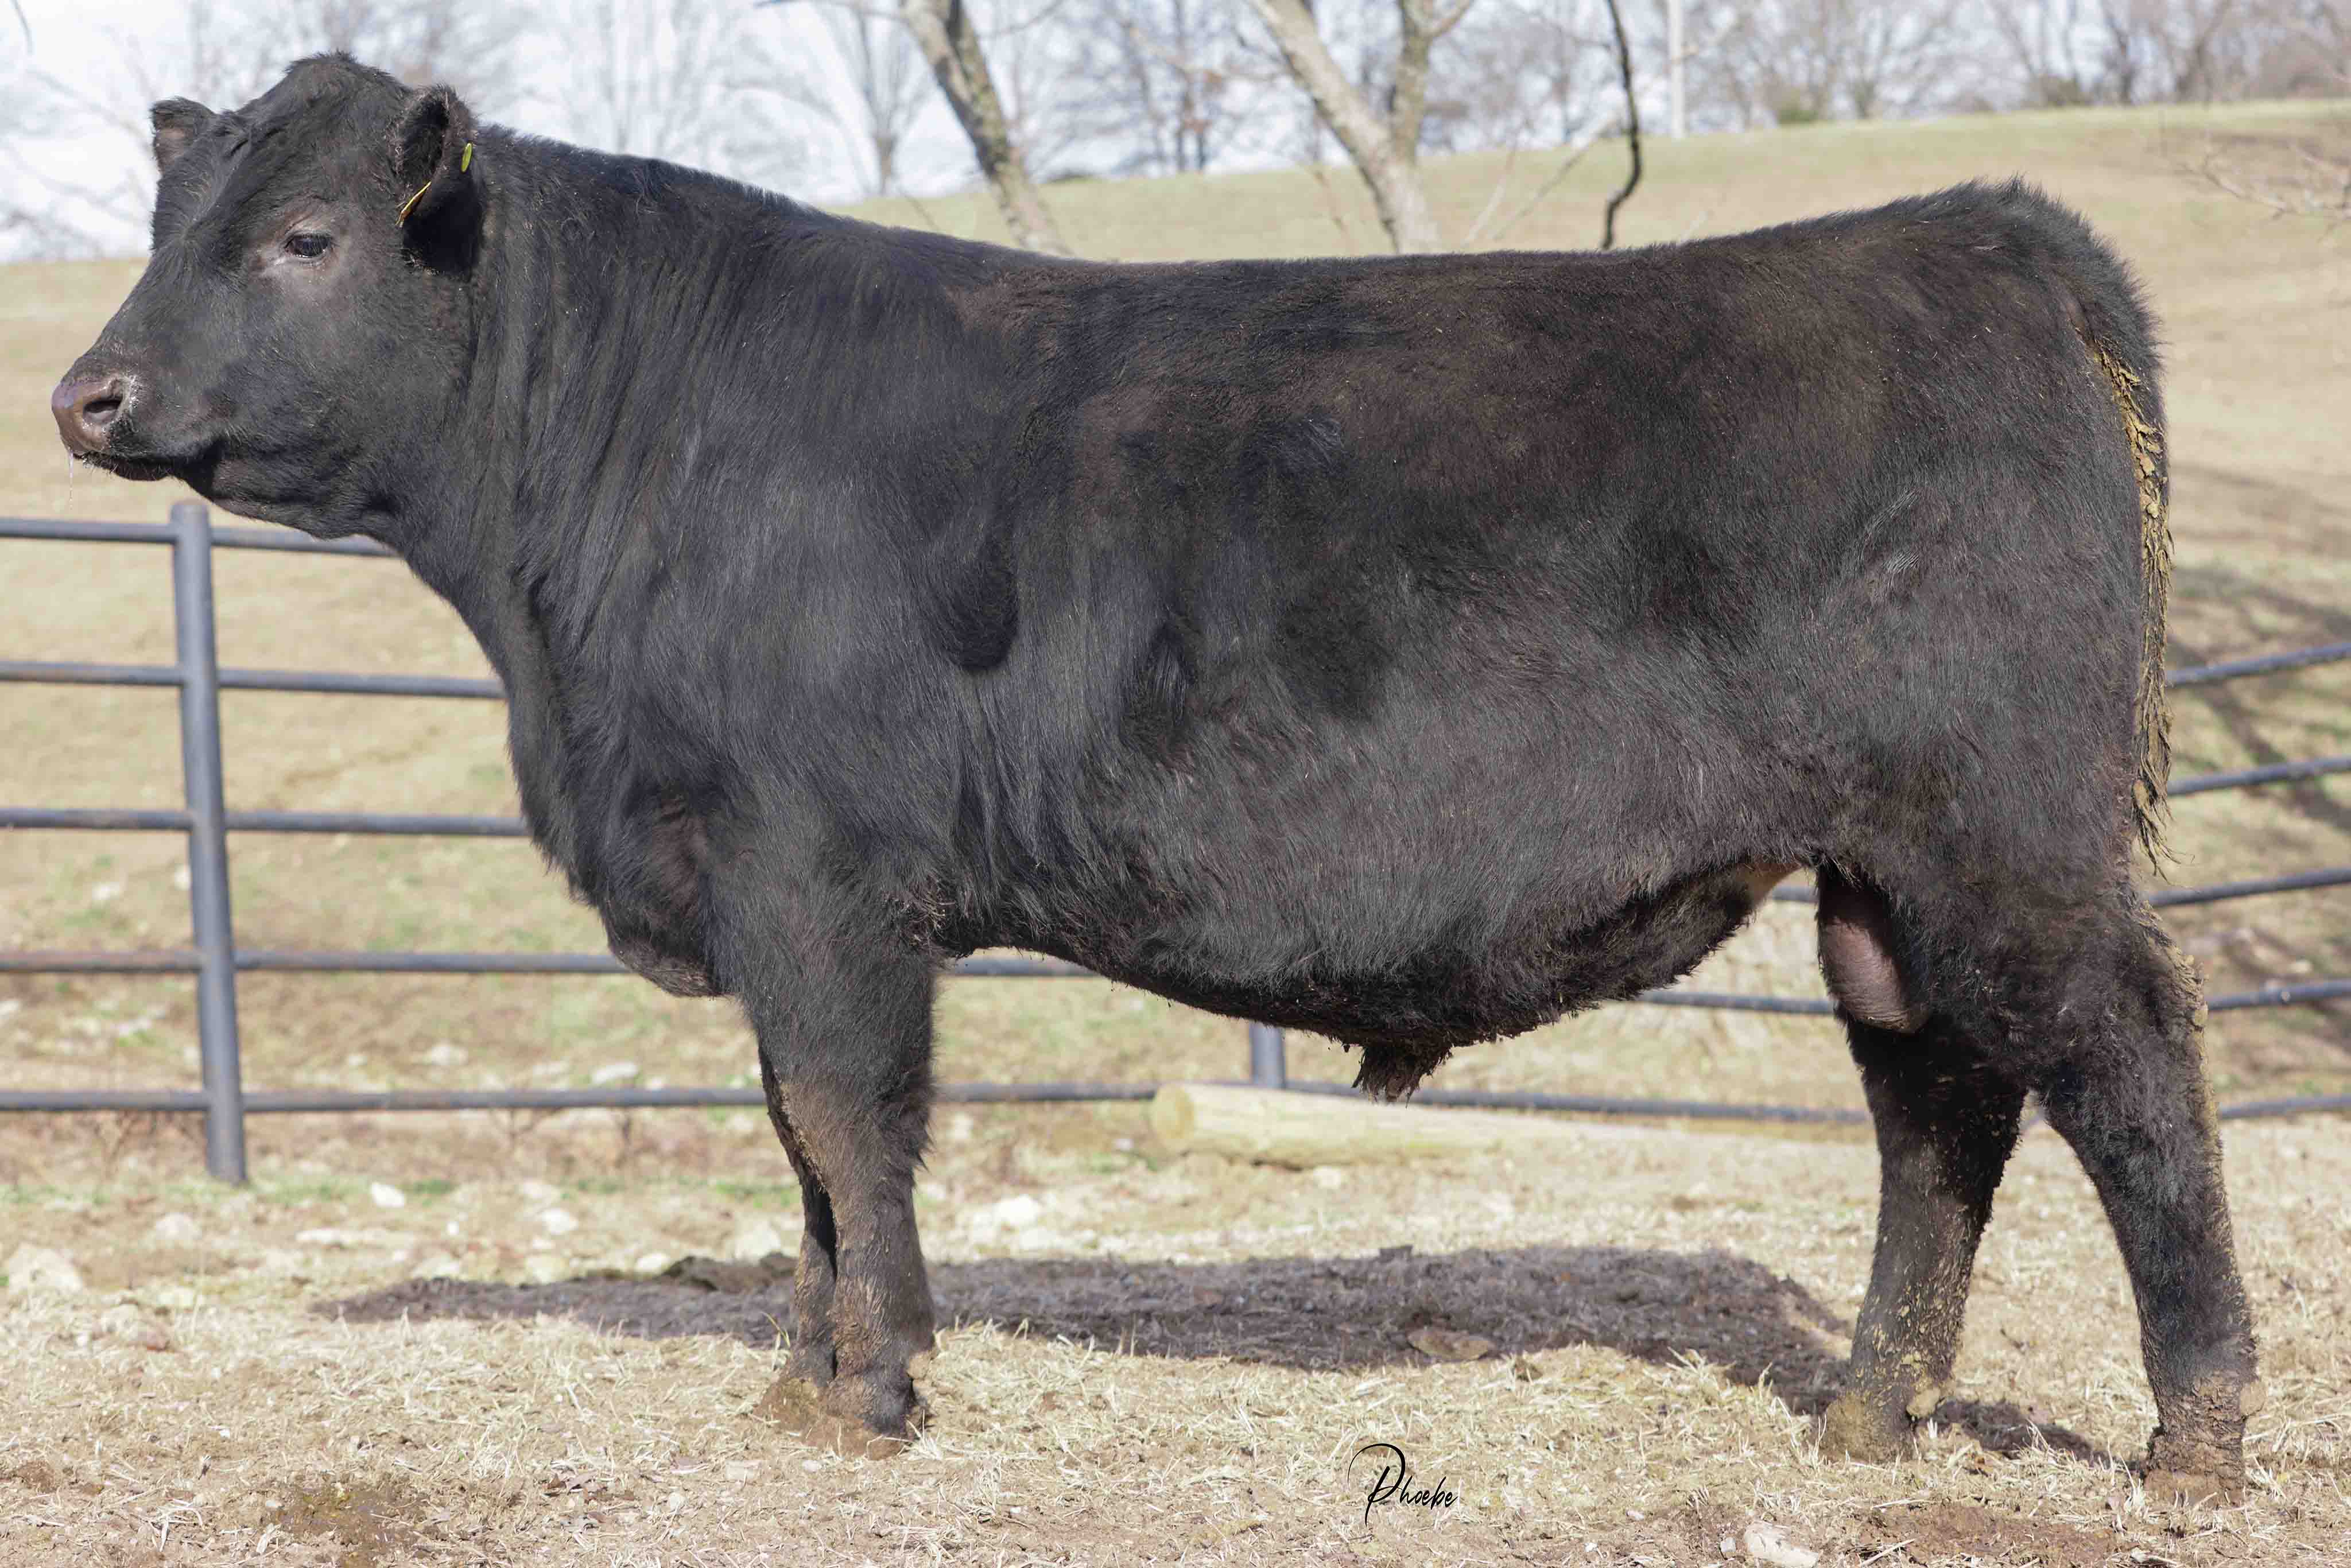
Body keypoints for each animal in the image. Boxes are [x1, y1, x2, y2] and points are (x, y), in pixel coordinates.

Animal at [52, 55, 2259, 1501]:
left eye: (305, 236)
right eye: (168, 224)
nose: (87, 392)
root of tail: (1981, 235)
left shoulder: (813, 874)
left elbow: (845, 1123)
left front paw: (871, 1392)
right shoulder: (762, 886)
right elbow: (799, 1144)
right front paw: (801, 1382)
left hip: (2007, 839)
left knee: (2127, 1069)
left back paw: (2197, 1439)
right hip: (1886, 873)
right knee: (1933, 1107)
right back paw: (1869, 1417)